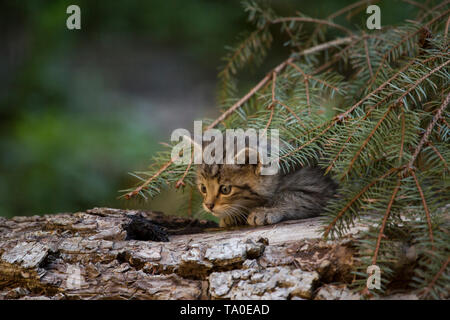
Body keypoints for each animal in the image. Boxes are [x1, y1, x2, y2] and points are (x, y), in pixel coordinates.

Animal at [197, 148, 338, 228]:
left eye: (225, 189)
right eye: (203, 188)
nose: (208, 205)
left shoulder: (320, 189)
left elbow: (290, 196)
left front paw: (266, 211)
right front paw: (234, 216)